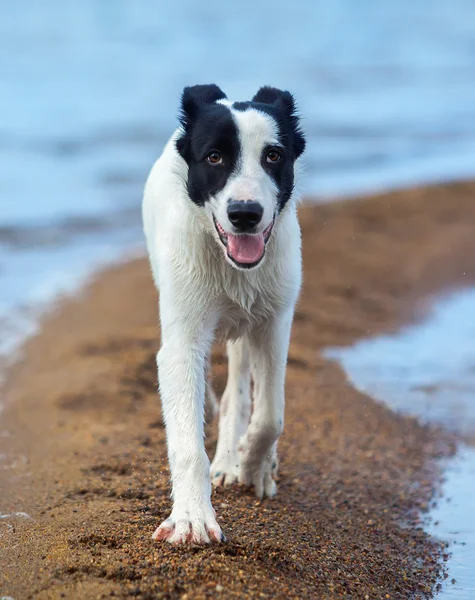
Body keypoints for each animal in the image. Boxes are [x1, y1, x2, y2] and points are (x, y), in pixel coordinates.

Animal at [142, 84, 304, 544]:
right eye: (214, 157)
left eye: (273, 156)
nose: (245, 214)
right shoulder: (181, 344)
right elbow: (186, 444)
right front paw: (192, 518)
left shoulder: (274, 326)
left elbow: (271, 415)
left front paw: (252, 465)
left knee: (242, 394)